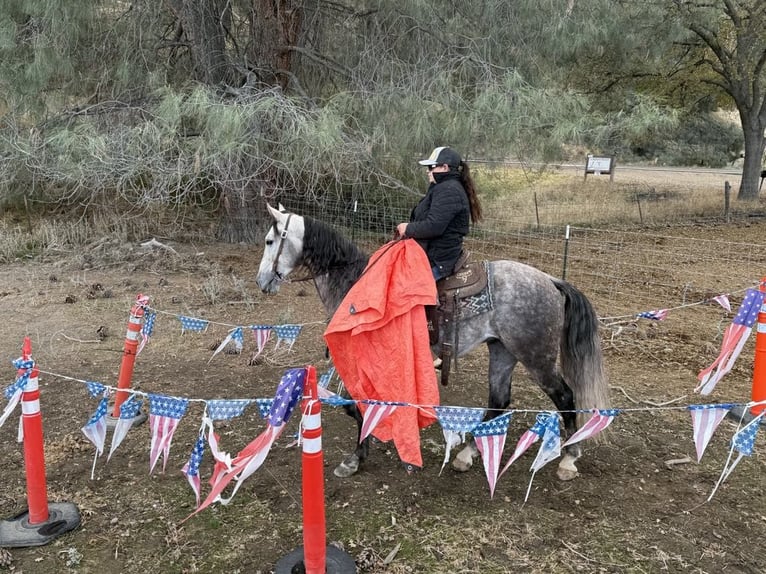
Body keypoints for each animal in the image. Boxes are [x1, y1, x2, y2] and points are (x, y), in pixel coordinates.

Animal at [258, 205, 612, 484]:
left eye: (270, 241)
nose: (261, 282)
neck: (356, 286)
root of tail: (551, 280)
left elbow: (358, 405)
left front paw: (356, 456)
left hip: (535, 356)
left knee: (565, 397)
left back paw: (569, 457)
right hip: (502, 350)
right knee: (499, 400)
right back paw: (467, 453)